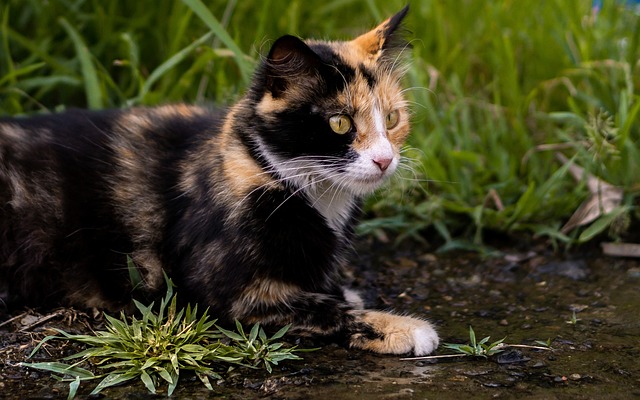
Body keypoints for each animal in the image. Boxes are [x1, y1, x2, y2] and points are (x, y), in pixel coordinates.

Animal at [0, 6, 440, 354]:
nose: (385, 160)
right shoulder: (221, 292)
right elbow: (321, 309)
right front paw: (404, 328)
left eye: (393, 119)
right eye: (339, 123)